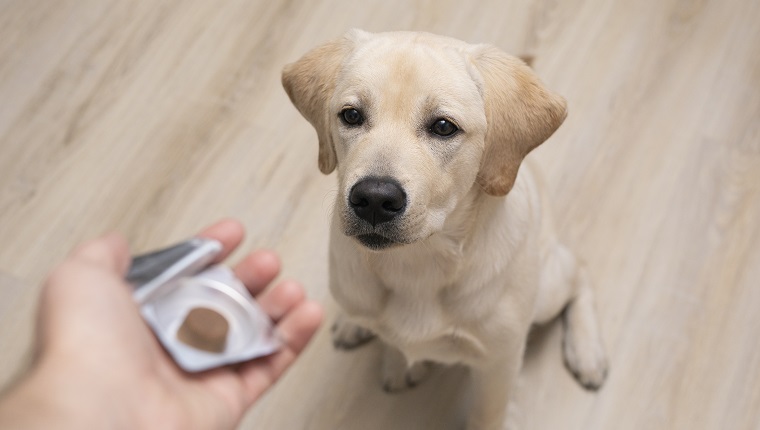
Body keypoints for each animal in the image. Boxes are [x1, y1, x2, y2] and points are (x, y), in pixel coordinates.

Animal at [282, 29, 608, 426]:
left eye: (443, 127)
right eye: (351, 115)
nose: (373, 198)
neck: (418, 262)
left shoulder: (499, 363)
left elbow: (487, 417)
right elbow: (394, 340)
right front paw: (397, 361)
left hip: (548, 287)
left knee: (580, 270)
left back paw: (587, 352)